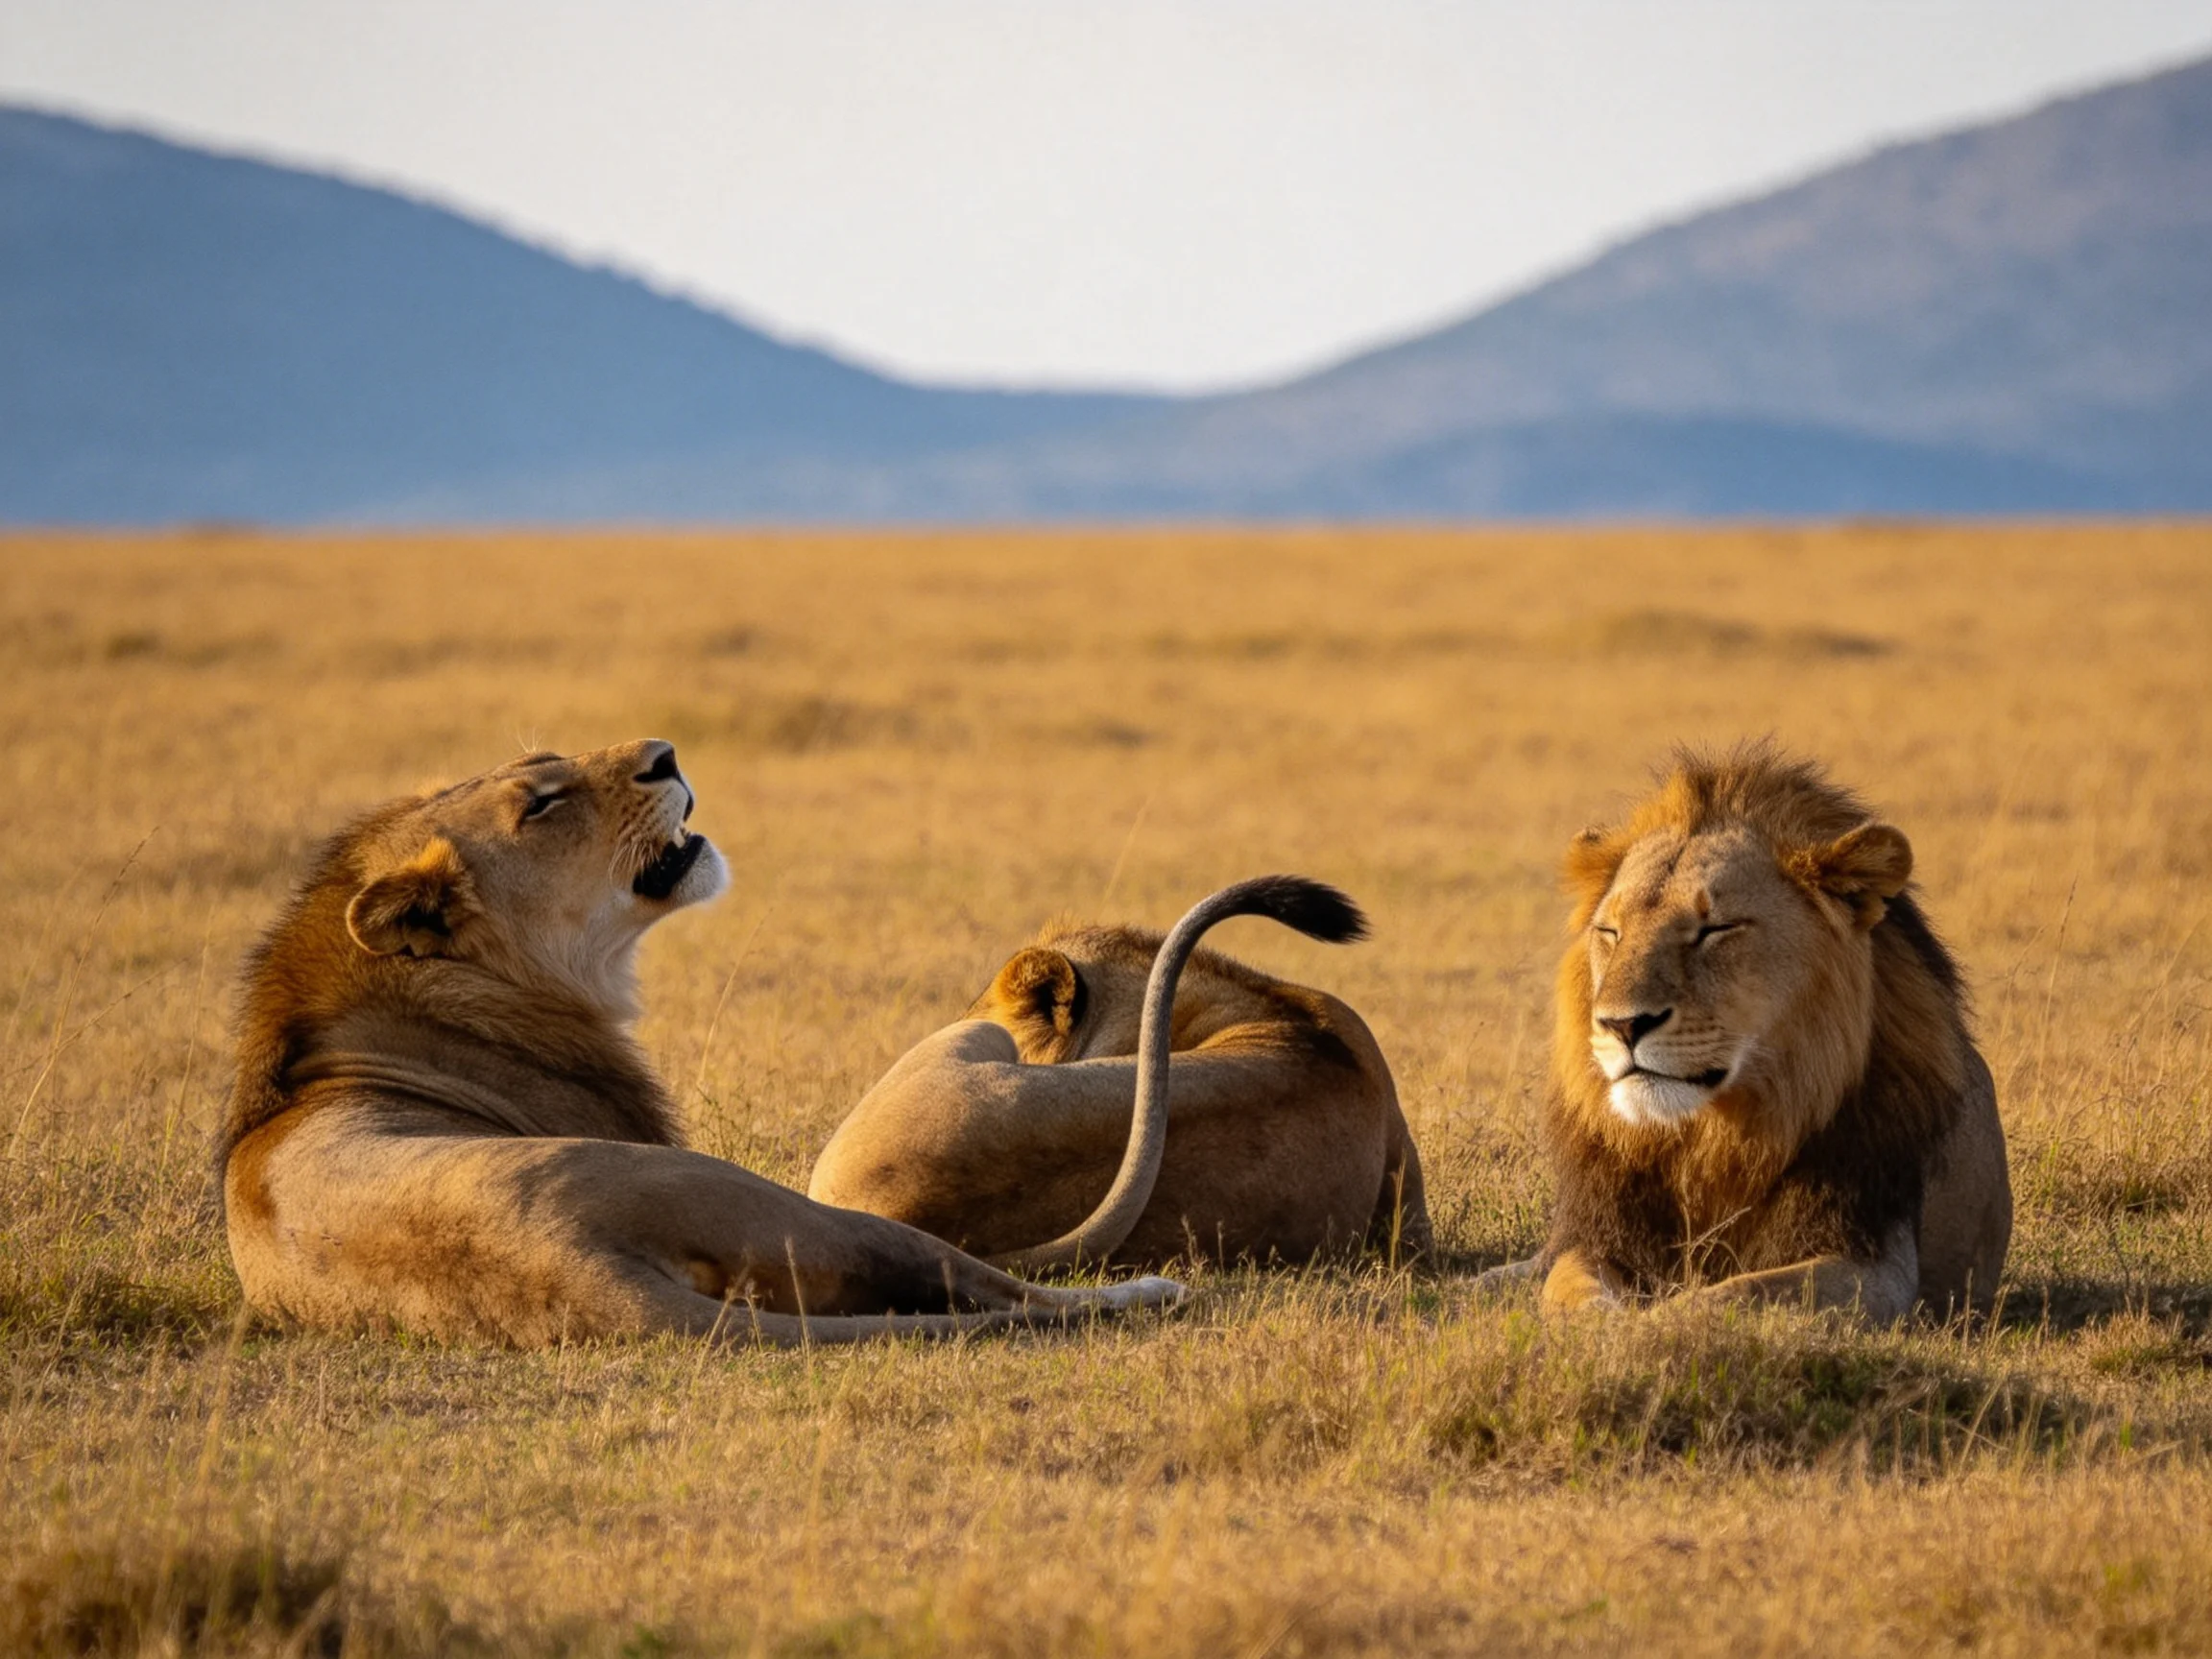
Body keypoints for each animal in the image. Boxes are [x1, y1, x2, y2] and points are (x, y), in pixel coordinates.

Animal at [219, 740, 1182, 1347]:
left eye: (547, 764)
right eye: (542, 803)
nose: (665, 754)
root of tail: (578, 1269)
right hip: (778, 1204)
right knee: (1009, 1286)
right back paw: (1152, 1288)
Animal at [1487, 745, 2009, 1322]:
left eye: (1716, 929)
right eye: (1610, 932)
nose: (1621, 1024)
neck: (1712, 1137)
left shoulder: (1875, 1262)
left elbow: (1733, 1295)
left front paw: (1650, 1325)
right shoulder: (1602, 1237)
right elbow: (1570, 1285)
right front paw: (1602, 1323)